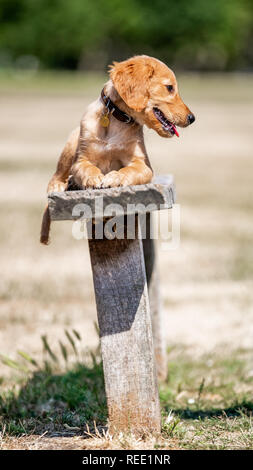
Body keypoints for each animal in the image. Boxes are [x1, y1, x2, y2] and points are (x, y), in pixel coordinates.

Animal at [40, 57, 196, 244]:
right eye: (170, 87)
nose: (192, 118)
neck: (117, 119)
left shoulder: (143, 165)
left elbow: (128, 170)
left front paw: (114, 178)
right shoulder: (81, 159)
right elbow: (87, 167)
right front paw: (93, 178)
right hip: (72, 140)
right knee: (57, 175)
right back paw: (61, 185)